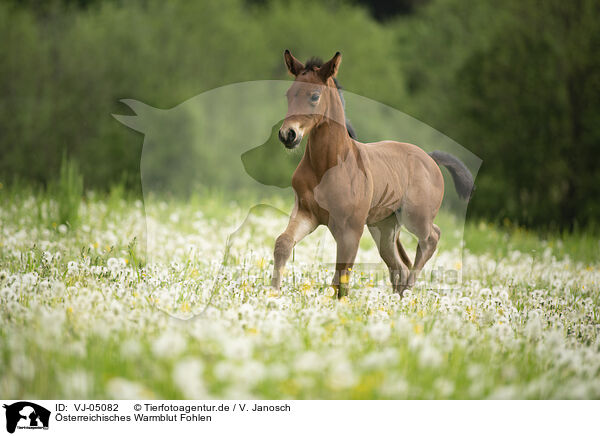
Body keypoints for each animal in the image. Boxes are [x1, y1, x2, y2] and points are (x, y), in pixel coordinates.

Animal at [272, 50, 474, 296]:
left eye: (314, 96)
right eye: (289, 94)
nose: (287, 134)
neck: (327, 166)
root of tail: (430, 158)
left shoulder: (350, 229)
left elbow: (342, 276)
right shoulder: (306, 214)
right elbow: (283, 244)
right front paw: (272, 295)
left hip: (416, 217)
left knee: (431, 238)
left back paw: (409, 288)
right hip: (384, 226)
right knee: (398, 265)